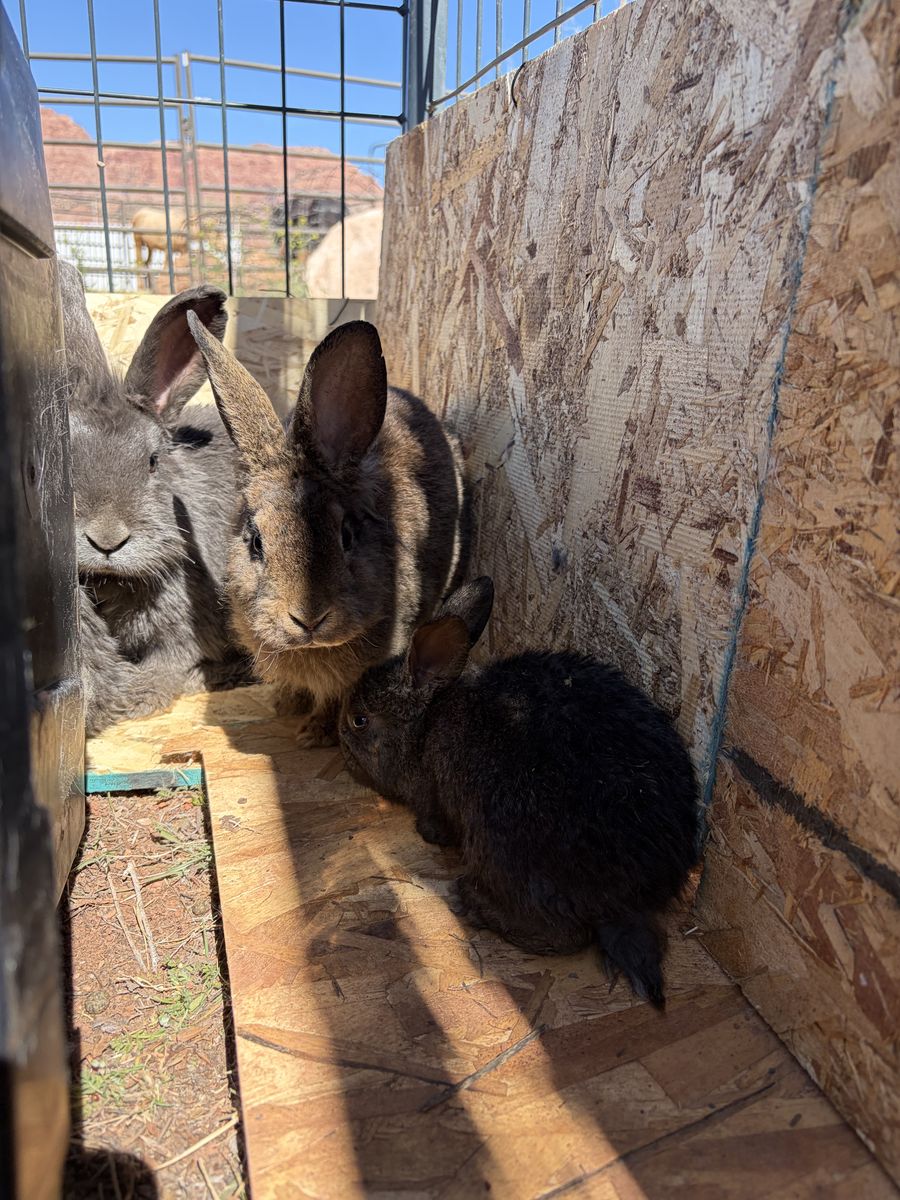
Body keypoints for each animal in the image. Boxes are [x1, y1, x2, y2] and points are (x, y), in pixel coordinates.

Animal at [59, 262, 253, 733]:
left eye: (152, 461)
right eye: (68, 461)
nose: (107, 541)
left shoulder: (181, 632)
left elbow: (168, 667)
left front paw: (153, 692)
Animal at [187, 314, 470, 746]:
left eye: (346, 535)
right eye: (256, 542)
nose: (308, 620)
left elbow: (337, 699)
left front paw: (314, 734)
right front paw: (286, 704)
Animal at [339, 577, 701, 1009]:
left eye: (359, 721)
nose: (339, 744)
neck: (427, 722)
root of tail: (626, 904)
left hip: (503, 854)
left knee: (562, 935)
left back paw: (473, 903)